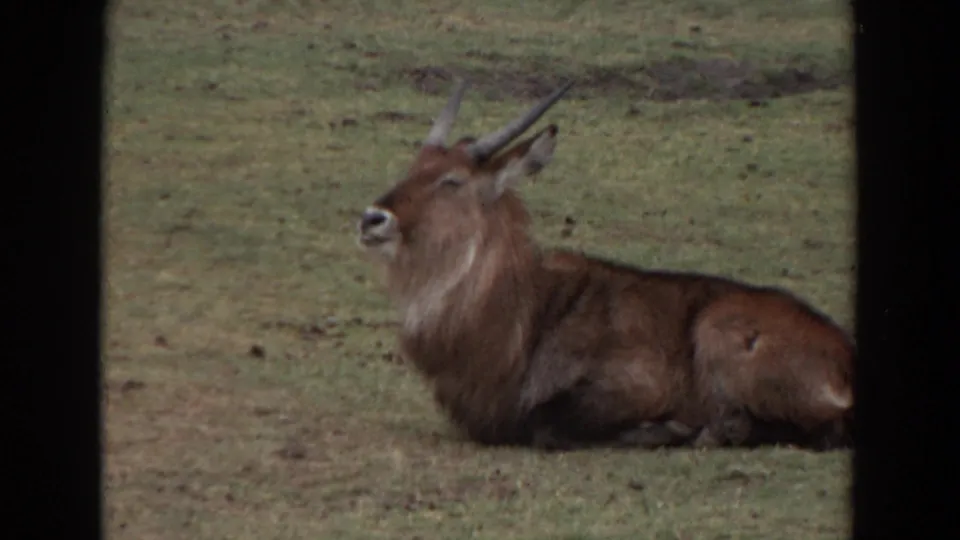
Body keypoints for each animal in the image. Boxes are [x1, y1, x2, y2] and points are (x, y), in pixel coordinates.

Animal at [356, 79, 854, 451]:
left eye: (452, 180)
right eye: (412, 168)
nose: (372, 218)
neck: (525, 316)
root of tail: (843, 353)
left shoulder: (634, 384)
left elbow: (545, 422)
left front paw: (666, 428)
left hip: (718, 328)